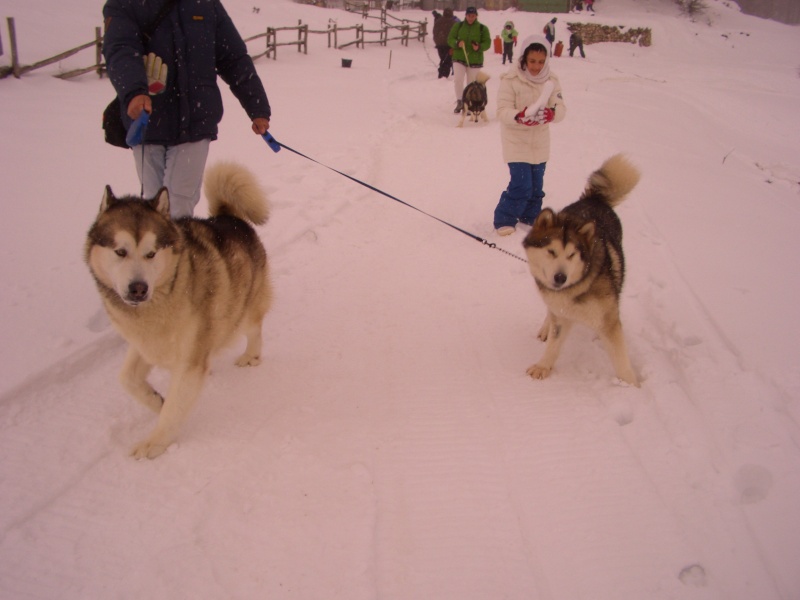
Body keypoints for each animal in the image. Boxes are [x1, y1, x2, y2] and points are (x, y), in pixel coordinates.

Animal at [84, 162, 272, 458]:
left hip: (243, 306)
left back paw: (251, 355)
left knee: (254, 327)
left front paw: (155, 442)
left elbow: (174, 409)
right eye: (120, 251)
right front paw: (156, 401)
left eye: (151, 253)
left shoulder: (190, 359)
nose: (138, 288)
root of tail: (228, 217)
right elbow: (126, 379)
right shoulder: (145, 343)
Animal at [520, 155, 640, 386]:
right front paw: (543, 366)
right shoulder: (560, 313)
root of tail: (594, 198)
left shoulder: (608, 320)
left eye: (571, 255)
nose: (560, 277)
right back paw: (545, 328)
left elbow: (620, 358)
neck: (576, 288)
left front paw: (631, 385)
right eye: (551, 251)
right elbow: (554, 342)